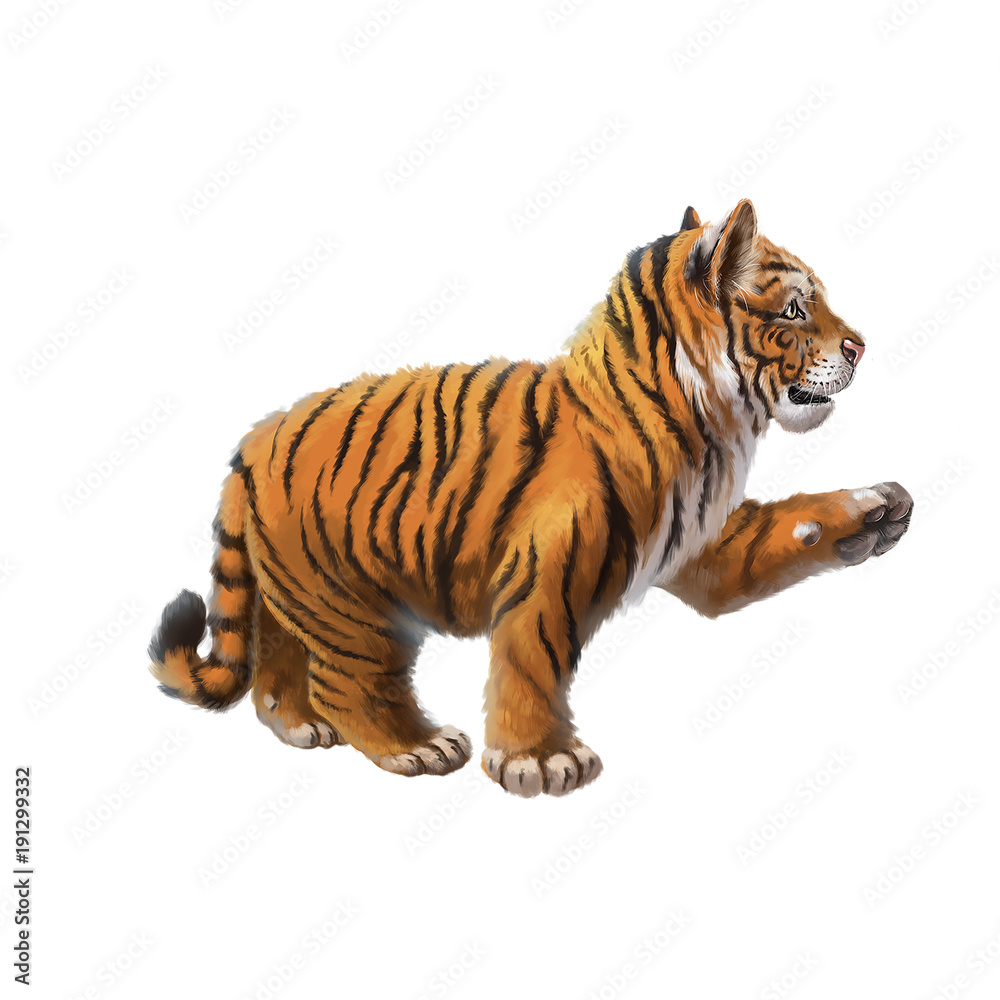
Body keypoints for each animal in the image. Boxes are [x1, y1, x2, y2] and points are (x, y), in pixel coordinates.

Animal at [148, 198, 912, 797]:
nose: (860, 346)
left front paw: (875, 509)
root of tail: (258, 434)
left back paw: (300, 722)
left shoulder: (703, 541)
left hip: (294, 588)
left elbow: (784, 531)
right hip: (352, 602)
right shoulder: (551, 566)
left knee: (273, 654)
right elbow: (532, 657)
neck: (710, 421)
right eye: (796, 310)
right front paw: (541, 763)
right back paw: (411, 744)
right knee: (350, 680)